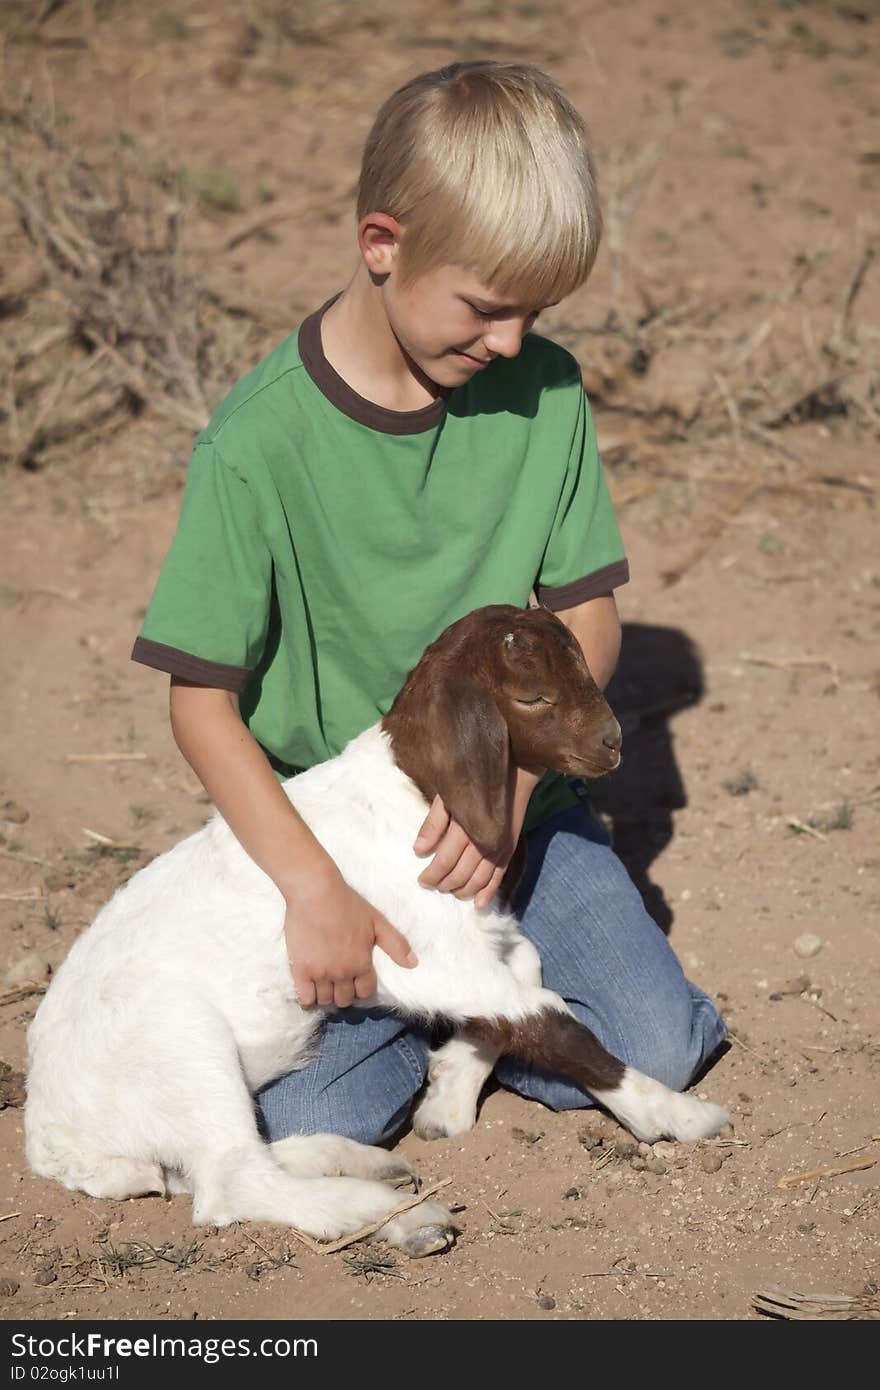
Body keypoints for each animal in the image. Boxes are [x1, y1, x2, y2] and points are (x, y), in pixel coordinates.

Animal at [27, 603, 728, 1256]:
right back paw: (406, 1219)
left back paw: (364, 1163)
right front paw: (674, 1113)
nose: (613, 743)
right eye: (532, 696)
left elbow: (525, 977)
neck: (414, 794)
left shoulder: (468, 941)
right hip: (179, 1048)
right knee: (231, 1180)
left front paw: (448, 1092)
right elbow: (549, 1017)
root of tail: (49, 1132)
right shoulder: (420, 956)